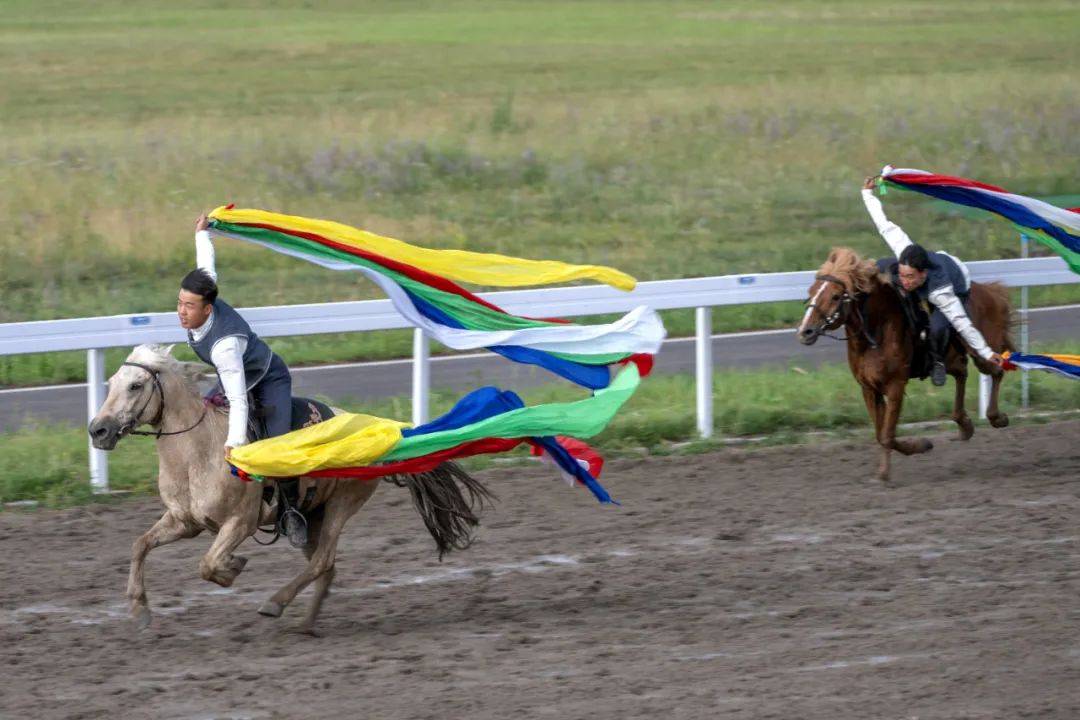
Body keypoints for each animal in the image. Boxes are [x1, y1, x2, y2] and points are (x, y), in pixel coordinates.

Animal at [88, 343, 494, 630]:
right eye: (110, 385)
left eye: (136, 385)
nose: (99, 430)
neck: (199, 451)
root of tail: (381, 431)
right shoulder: (183, 522)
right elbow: (140, 545)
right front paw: (138, 609)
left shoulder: (241, 523)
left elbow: (208, 563)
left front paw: (233, 567)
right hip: (312, 516)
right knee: (324, 566)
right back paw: (305, 625)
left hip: (341, 506)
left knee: (323, 560)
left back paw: (276, 604)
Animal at [794, 249, 1010, 483]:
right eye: (811, 292)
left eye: (835, 296)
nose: (805, 331)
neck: (877, 330)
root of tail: (989, 292)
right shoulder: (868, 389)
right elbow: (880, 434)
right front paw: (917, 447)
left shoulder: (895, 386)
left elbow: (887, 435)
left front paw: (890, 469)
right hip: (952, 358)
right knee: (962, 371)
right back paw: (964, 425)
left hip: (979, 350)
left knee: (996, 370)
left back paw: (997, 417)